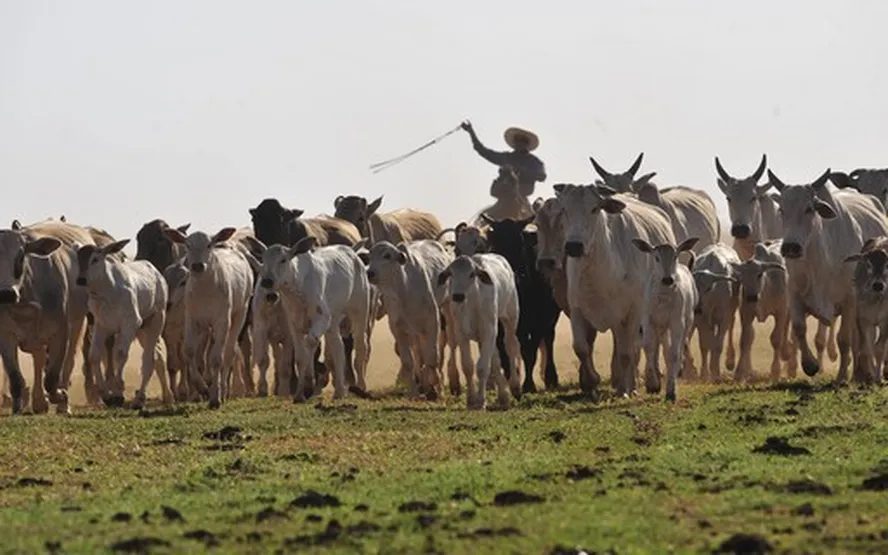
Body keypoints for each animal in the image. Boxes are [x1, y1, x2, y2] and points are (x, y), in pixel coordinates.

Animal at [164, 227, 253, 408]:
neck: (205, 290)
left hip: (239, 314)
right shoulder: (191, 320)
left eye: (208, 244)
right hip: (206, 327)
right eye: (188, 245)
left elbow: (216, 358)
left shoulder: (222, 321)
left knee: (228, 352)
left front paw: (215, 397)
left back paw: (224, 390)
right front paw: (202, 388)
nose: (198, 265)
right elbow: (189, 353)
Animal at [438, 255, 520, 408]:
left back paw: (515, 386)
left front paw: (481, 401)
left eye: (472, 274)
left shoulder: (488, 331)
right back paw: (503, 395)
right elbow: (468, 366)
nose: (458, 296)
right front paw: (471, 400)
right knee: (495, 359)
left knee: (511, 347)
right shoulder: (462, 334)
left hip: (511, 318)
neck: (471, 303)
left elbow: (482, 368)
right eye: (451, 273)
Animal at [482, 215, 560, 394]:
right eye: (496, 244)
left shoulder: (536, 323)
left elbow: (529, 352)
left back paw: (551, 378)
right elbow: (504, 352)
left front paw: (528, 385)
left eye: (520, 243)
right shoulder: (499, 324)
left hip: (550, 318)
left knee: (549, 340)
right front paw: (509, 382)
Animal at [632, 237, 700, 402]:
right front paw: (653, 384)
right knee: (662, 347)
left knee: (679, 348)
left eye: (675, 256)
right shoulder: (648, 321)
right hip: (661, 328)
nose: (667, 279)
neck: (663, 298)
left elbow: (674, 354)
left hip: (687, 322)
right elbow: (649, 348)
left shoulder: (677, 323)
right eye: (656, 257)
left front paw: (671, 390)